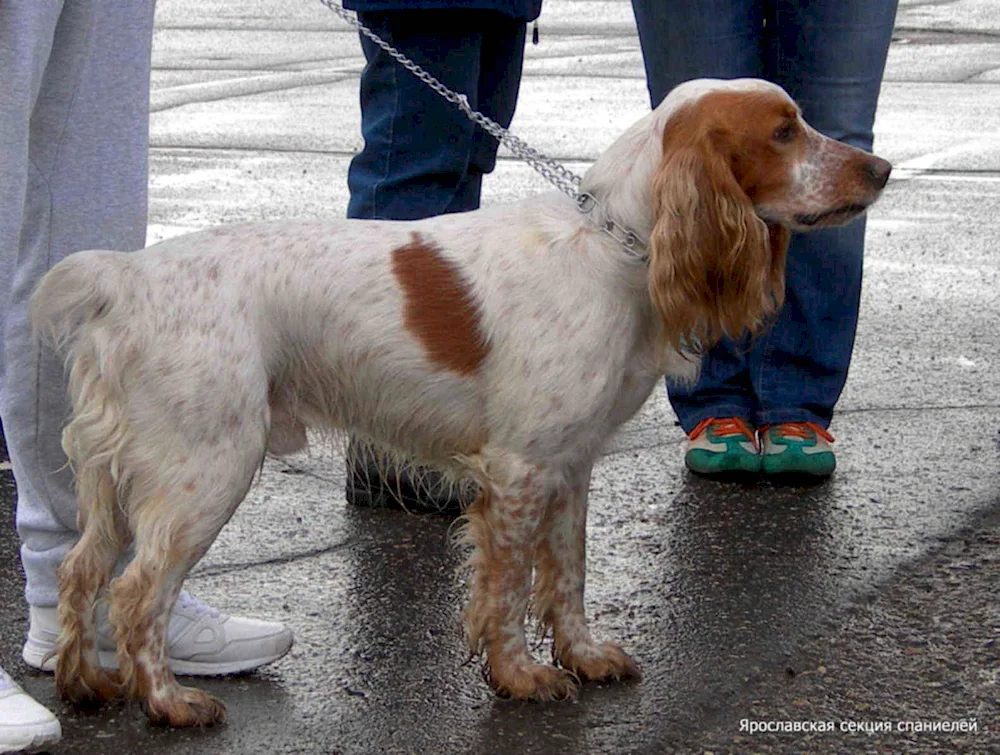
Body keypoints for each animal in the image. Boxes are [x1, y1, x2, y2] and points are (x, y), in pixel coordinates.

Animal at [33, 78, 892, 728]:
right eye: (784, 131)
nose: (880, 167)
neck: (616, 247)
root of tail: (124, 279)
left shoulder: (569, 466)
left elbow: (567, 576)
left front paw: (584, 655)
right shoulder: (516, 471)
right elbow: (507, 588)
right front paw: (520, 675)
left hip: (118, 476)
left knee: (80, 571)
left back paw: (85, 682)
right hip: (207, 467)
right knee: (135, 592)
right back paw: (169, 701)